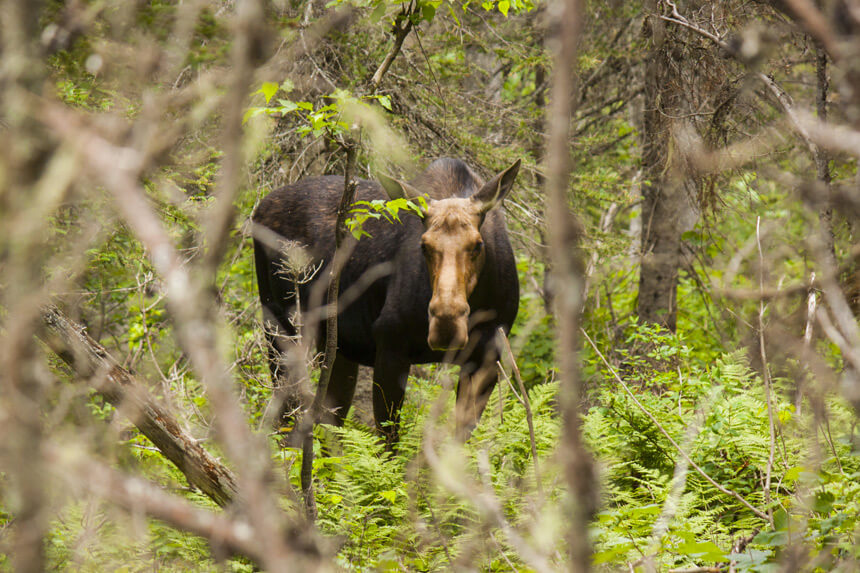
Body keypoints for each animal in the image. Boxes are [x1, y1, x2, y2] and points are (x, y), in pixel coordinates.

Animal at [252, 156, 520, 442]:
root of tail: (258, 210)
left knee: (329, 420)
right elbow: (387, 440)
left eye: (478, 245)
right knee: (285, 418)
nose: (446, 322)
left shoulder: (487, 358)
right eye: (424, 245)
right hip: (279, 325)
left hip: (338, 345)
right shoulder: (391, 345)